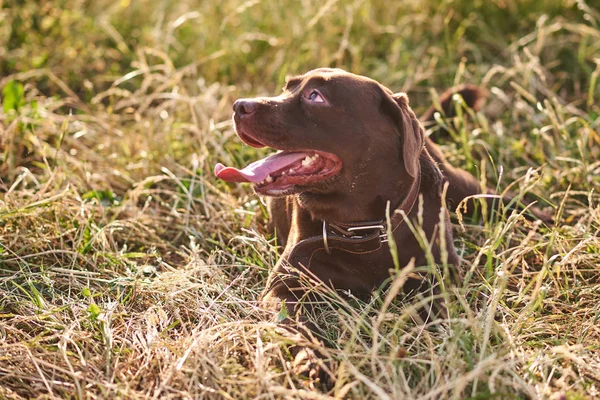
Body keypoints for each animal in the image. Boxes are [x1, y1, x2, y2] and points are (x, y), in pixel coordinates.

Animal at [216, 69, 552, 384]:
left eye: (315, 96)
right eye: (287, 88)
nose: (239, 105)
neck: (363, 228)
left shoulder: (440, 276)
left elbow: (435, 313)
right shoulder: (283, 289)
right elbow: (298, 327)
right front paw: (313, 360)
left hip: (462, 188)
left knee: (499, 197)